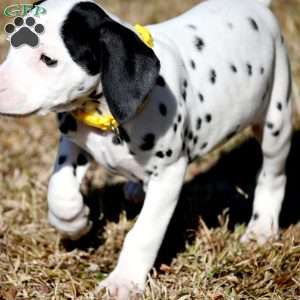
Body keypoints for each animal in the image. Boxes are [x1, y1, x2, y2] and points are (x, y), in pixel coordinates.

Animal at [0, 0, 292, 298]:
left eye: (47, 59)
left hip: (276, 120)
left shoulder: (169, 175)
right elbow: (59, 191)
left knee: (273, 176)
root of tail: (256, 6)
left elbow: (144, 233)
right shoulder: (73, 140)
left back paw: (262, 228)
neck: (106, 116)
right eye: (11, 45)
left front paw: (123, 281)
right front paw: (74, 222)